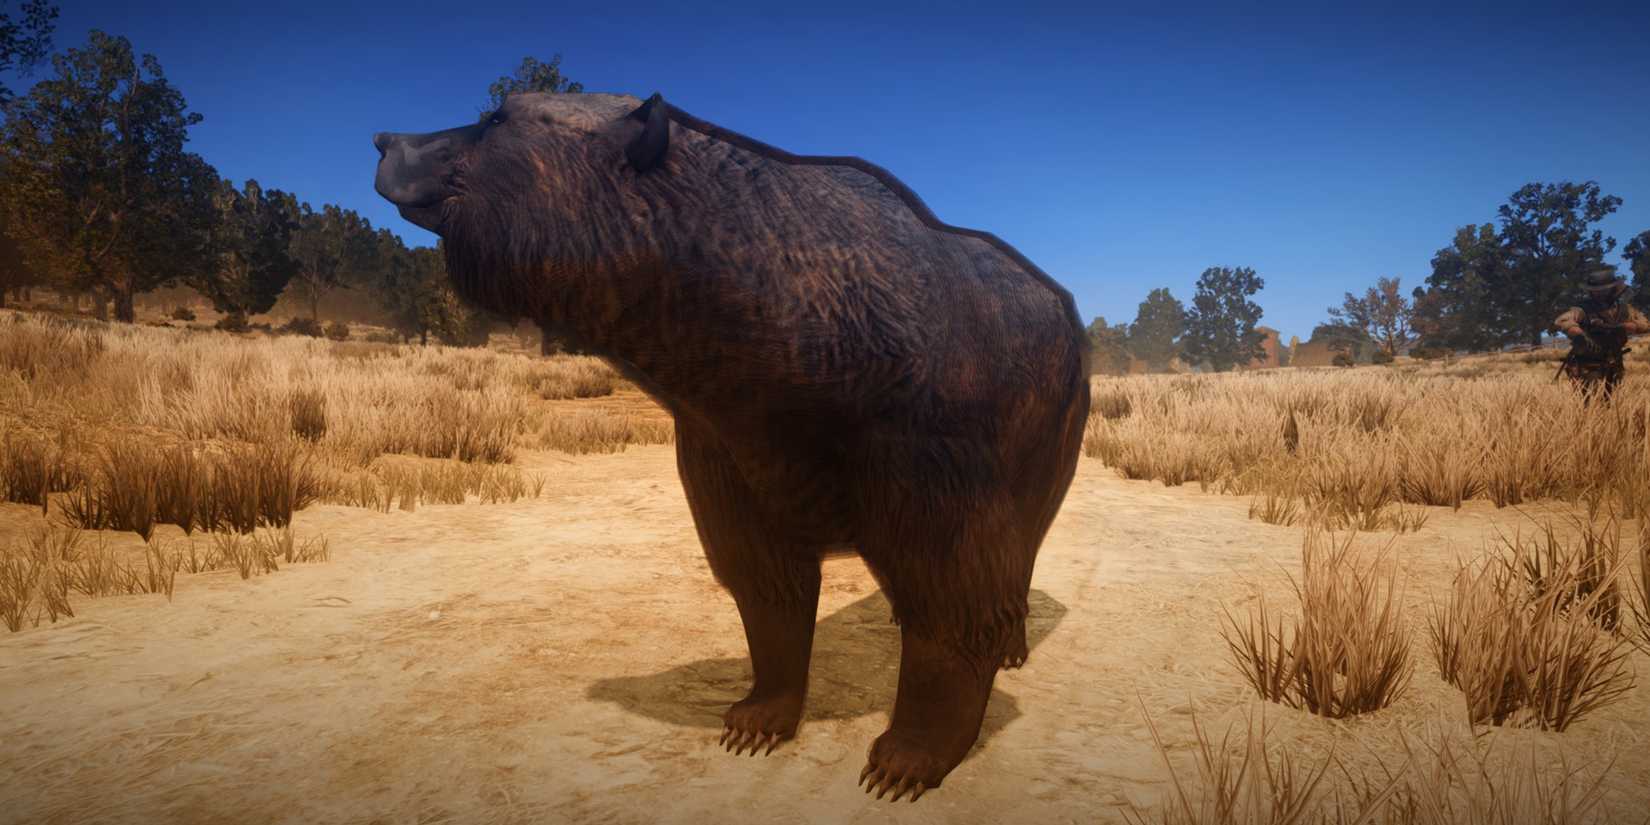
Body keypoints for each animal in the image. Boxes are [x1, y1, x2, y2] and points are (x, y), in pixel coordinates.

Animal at [373, 91, 1091, 802]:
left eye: (496, 117)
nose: (386, 139)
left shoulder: (923, 441)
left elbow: (953, 589)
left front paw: (904, 758)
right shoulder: (728, 443)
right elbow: (766, 581)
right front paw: (756, 716)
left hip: (1053, 414)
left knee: (1024, 537)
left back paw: (1012, 640)